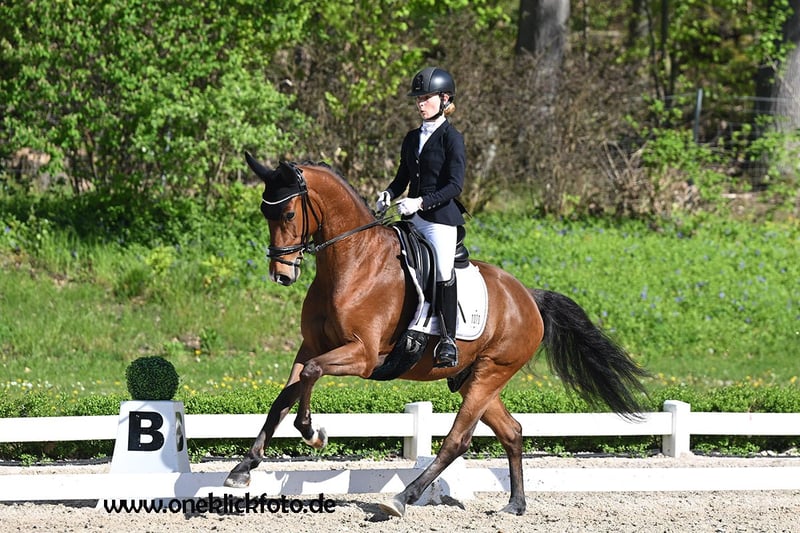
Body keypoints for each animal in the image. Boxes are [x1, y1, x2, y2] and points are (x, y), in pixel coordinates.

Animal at [223, 153, 650, 517]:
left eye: (289, 212)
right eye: (264, 212)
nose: (281, 274)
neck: (352, 262)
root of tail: (529, 297)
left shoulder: (362, 355)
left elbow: (312, 374)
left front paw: (313, 433)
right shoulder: (310, 346)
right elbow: (283, 398)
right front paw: (243, 467)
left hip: (491, 371)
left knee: (457, 440)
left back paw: (401, 498)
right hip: (474, 379)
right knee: (512, 431)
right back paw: (514, 505)